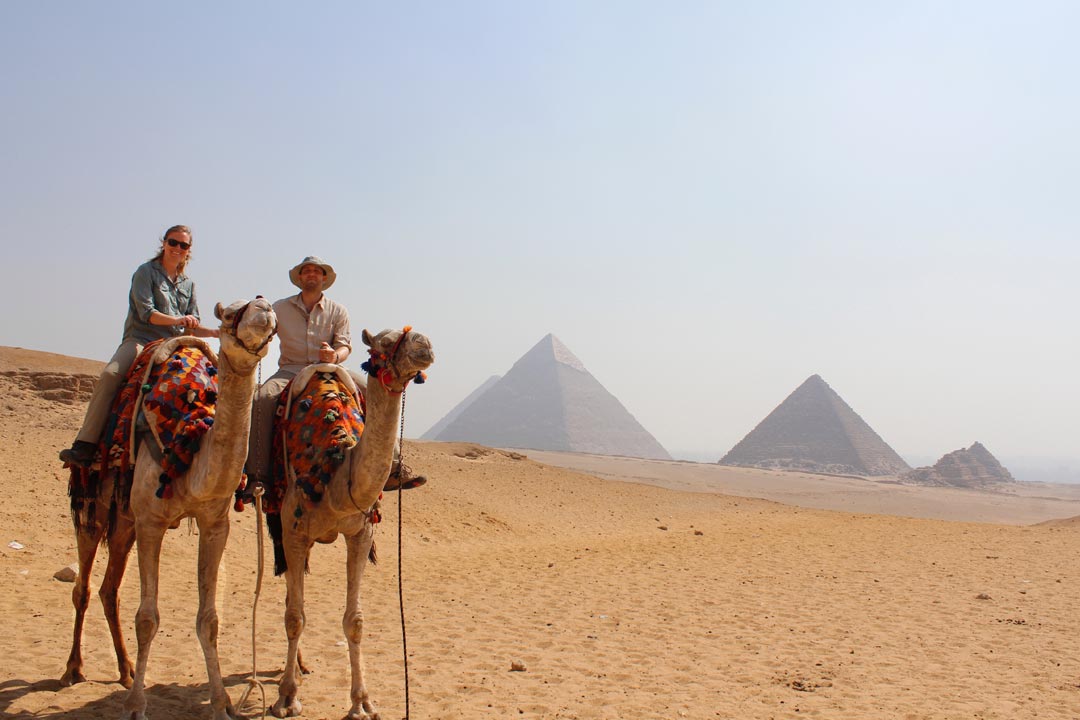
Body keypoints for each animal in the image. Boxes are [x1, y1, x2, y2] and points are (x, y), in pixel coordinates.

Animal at [113, 297, 277, 720]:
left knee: (106, 587)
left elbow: (210, 620)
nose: (264, 307)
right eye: (228, 313)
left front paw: (221, 704)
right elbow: (147, 618)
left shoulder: (215, 522)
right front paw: (135, 706)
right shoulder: (150, 522)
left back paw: (123, 670)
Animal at [270, 327, 434, 720]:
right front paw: (286, 698)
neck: (334, 471)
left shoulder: (361, 531)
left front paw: (362, 703)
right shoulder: (293, 532)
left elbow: (355, 621)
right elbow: (296, 617)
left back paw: (301, 665)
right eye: (383, 344)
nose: (424, 345)